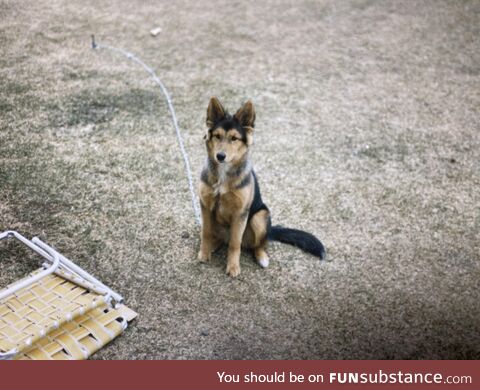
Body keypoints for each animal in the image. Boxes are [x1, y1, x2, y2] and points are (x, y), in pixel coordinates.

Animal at [197, 95, 324, 276]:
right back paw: (214, 245)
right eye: (217, 136)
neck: (223, 174)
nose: (220, 156)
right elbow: (206, 233)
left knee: (257, 244)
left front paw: (233, 267)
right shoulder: (205, 205)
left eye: (234, 138)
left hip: (260, 216)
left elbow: (235, 244)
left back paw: (262, 257)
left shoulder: (241, 213)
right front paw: (204, 253)